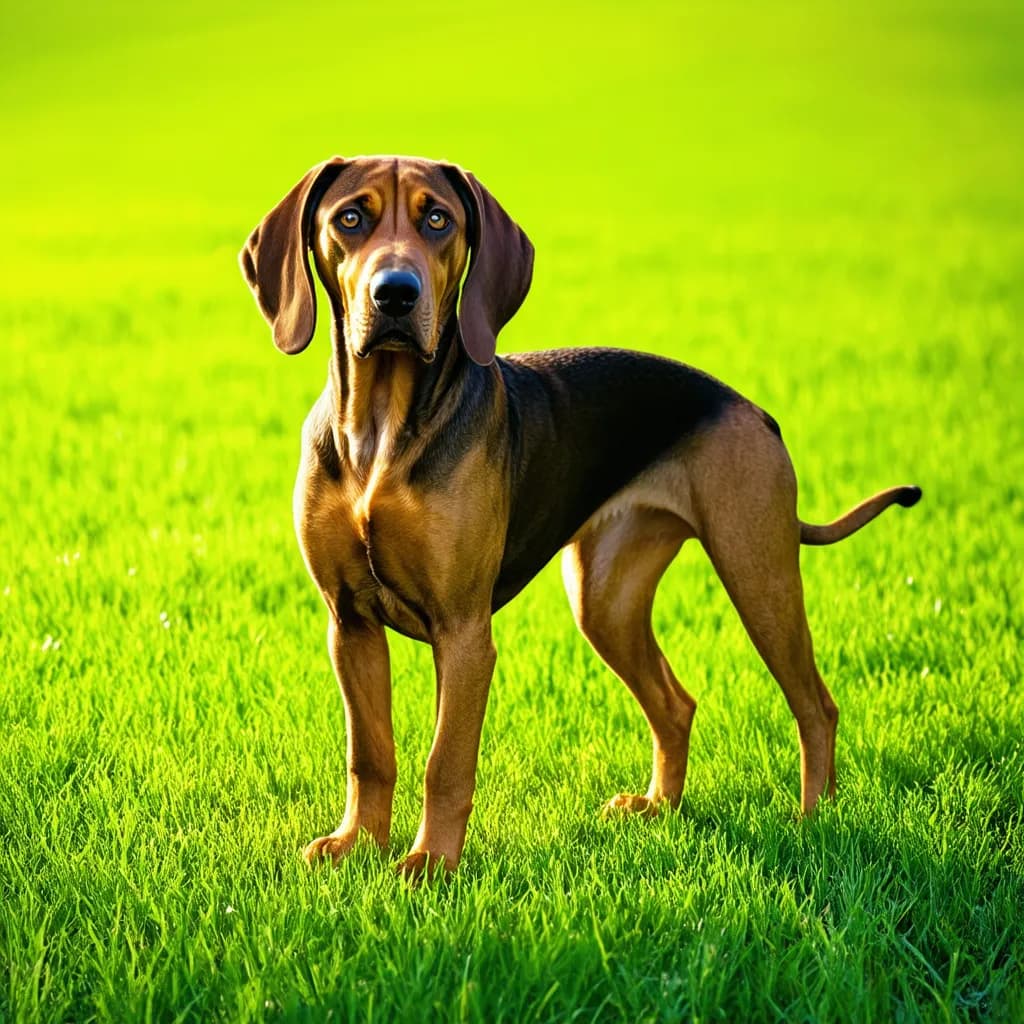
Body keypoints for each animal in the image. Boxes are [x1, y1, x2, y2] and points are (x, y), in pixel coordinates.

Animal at [239, 153, 921, 880]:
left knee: (815, 705)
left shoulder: (464, 633)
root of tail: (752, 409)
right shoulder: (351, 624)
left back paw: (813, 817)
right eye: (350, 218)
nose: (395, 293)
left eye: (437, 219)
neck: (382, 431)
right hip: (606, 600)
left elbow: (444, 764)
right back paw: (658, 807)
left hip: (758, 575)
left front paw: (431, 863)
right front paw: (358, 843)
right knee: (675, 704)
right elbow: (370, 754)